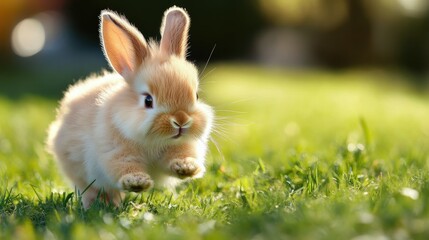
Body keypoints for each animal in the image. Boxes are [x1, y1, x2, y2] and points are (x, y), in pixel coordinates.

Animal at [46, 6, 213, 208]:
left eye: (196, 96)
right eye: (148, 100)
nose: (181, 120)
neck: (153, 141)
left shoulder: (180, 146)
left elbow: (176, 157)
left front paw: (187, 167)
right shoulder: (115, 152)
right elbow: (124, 166)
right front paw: (137, 182)